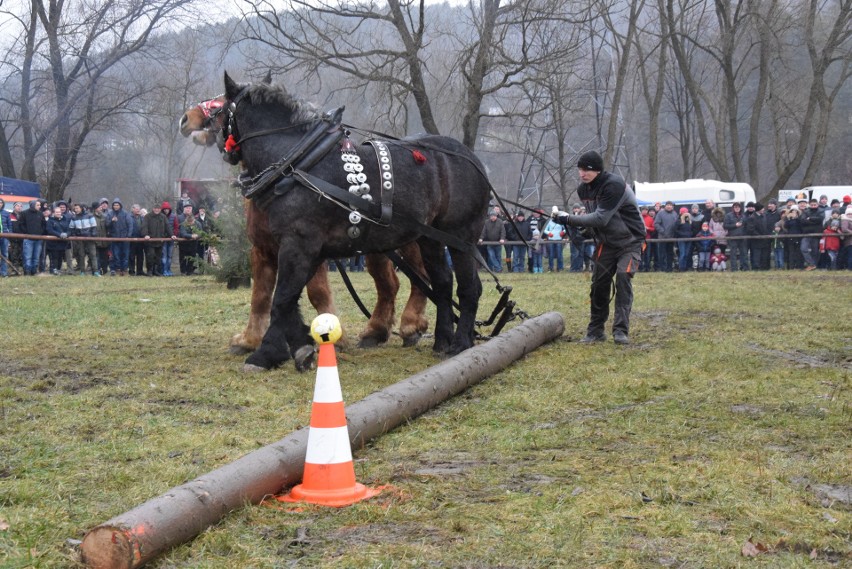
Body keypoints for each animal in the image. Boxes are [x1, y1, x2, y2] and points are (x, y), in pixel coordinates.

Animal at [177, 89, 430, 358]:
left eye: (219, 102)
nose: (185, 119)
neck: (286, 174)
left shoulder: (305, 246)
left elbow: (316, 292)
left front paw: (334, 338)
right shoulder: (262, 249)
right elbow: (260, 296)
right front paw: (248, 340)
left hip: (410, 242)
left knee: (420, 278)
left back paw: (411, 325)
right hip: (378, 248)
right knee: (388, 284)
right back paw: (376, 331)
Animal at [206, 72, 490, 372]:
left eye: (219, 111)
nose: (223, 148)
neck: (297, 164)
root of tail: (470, 158)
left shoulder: (298, 243)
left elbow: (282, 298)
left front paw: (265, 353)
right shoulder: (301, 249)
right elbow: (291, 298)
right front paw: (301, 345)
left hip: (460, 236)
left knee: (468, 287)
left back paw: (459, 343)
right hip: (431, 239)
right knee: (442, 283)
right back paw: (441, 341)